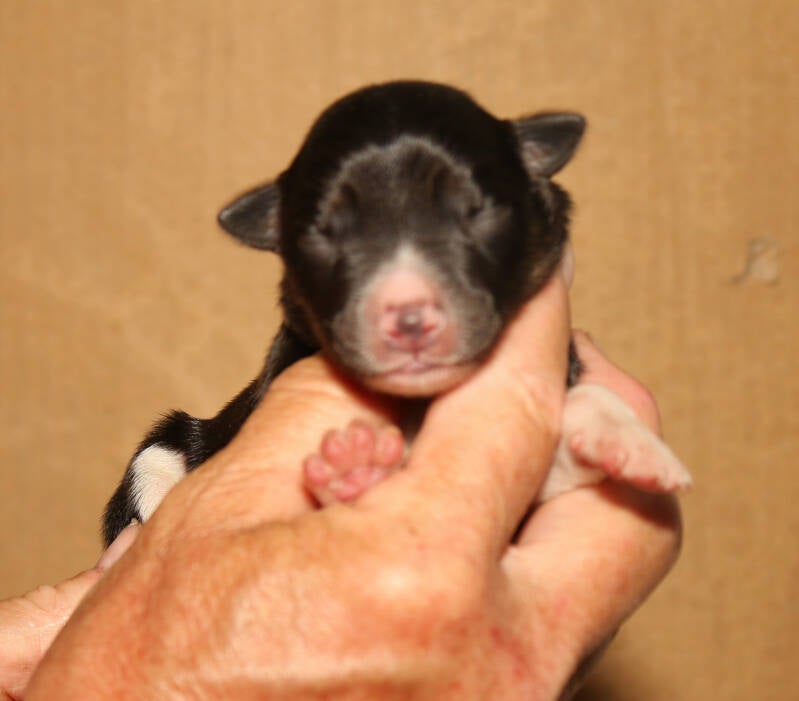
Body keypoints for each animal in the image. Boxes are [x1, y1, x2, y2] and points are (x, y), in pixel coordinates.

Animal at [103, 81, 690, 545]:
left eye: (475, 210)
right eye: (325, 233)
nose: (409, 319)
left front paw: (625, 440)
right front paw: (354, 467)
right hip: (160, 453)